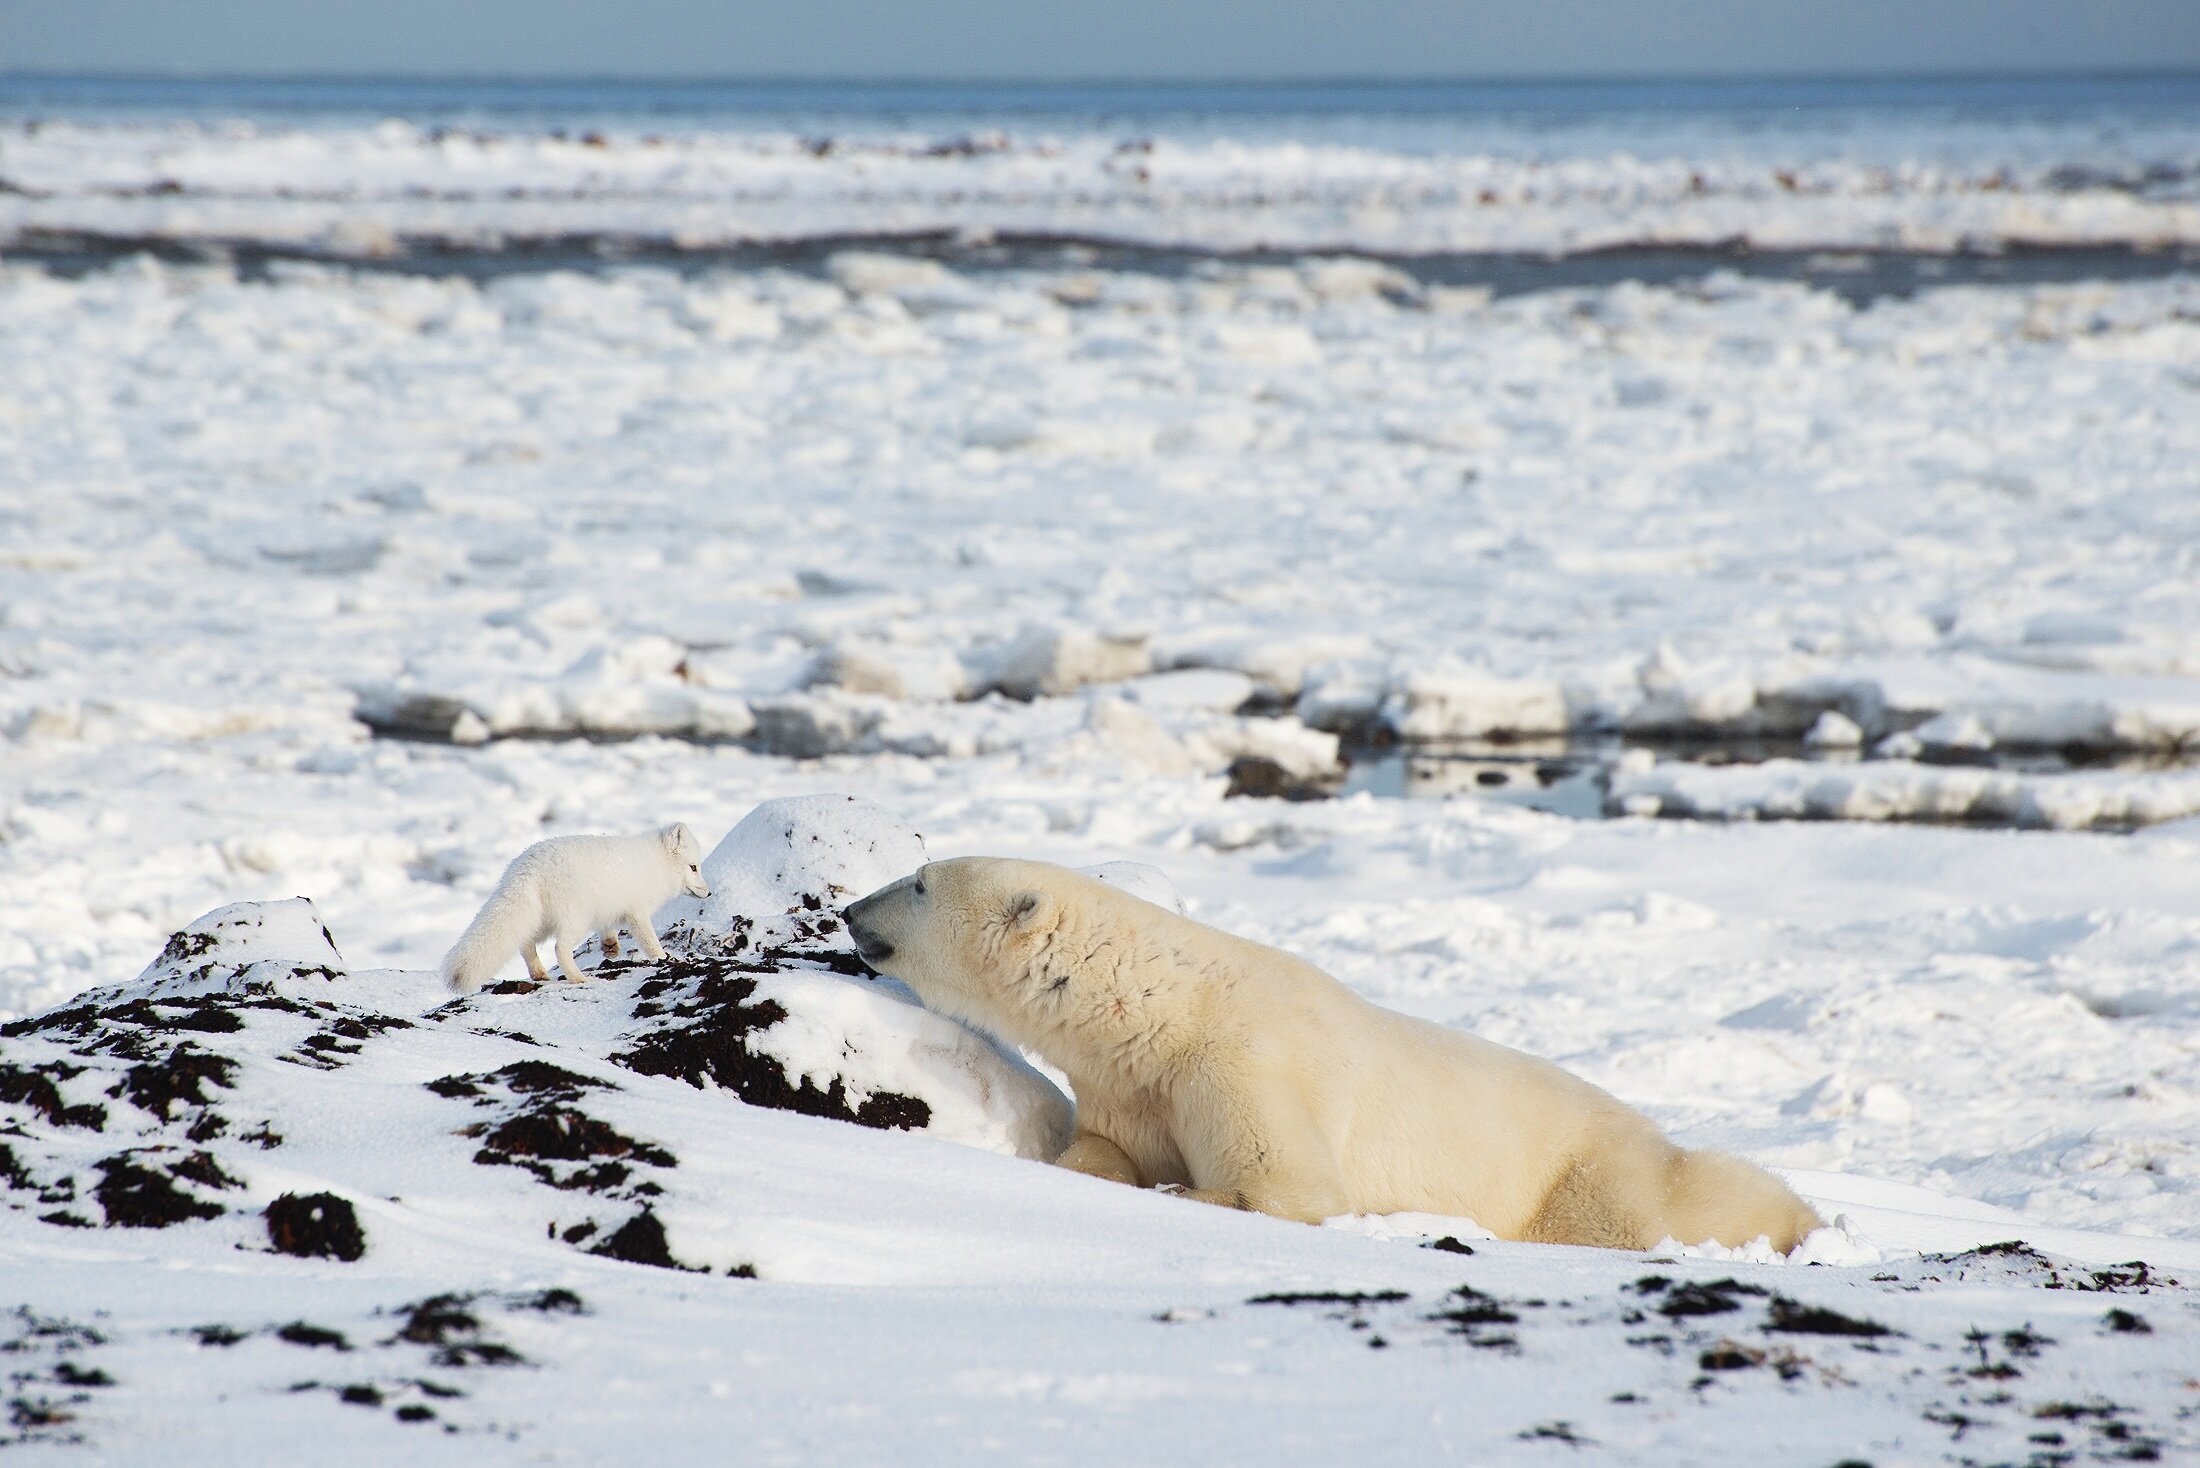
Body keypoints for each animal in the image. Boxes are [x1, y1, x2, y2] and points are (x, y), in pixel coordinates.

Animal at [431, 827, 699, 999]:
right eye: (694, 867)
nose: (706, 893)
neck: (657, 863)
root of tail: (526, 867)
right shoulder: (638, 913)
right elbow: (650, 941)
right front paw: (665, 958)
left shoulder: (609, 910)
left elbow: (608, 929)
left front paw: (611, 948)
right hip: (574, 919)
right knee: (559, 948)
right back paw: (579, 978)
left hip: (540, 919)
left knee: (525, 944)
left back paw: (540, 975)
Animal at [840, 862, 1821, 1250]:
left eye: (919, 882)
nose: (850, 910)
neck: (1161, 1006)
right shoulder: (1129, 1083)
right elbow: (1101, 1151)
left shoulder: (1242, 1062)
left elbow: (1287, 1184)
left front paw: (1188, 1192)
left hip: (1587, 1170)